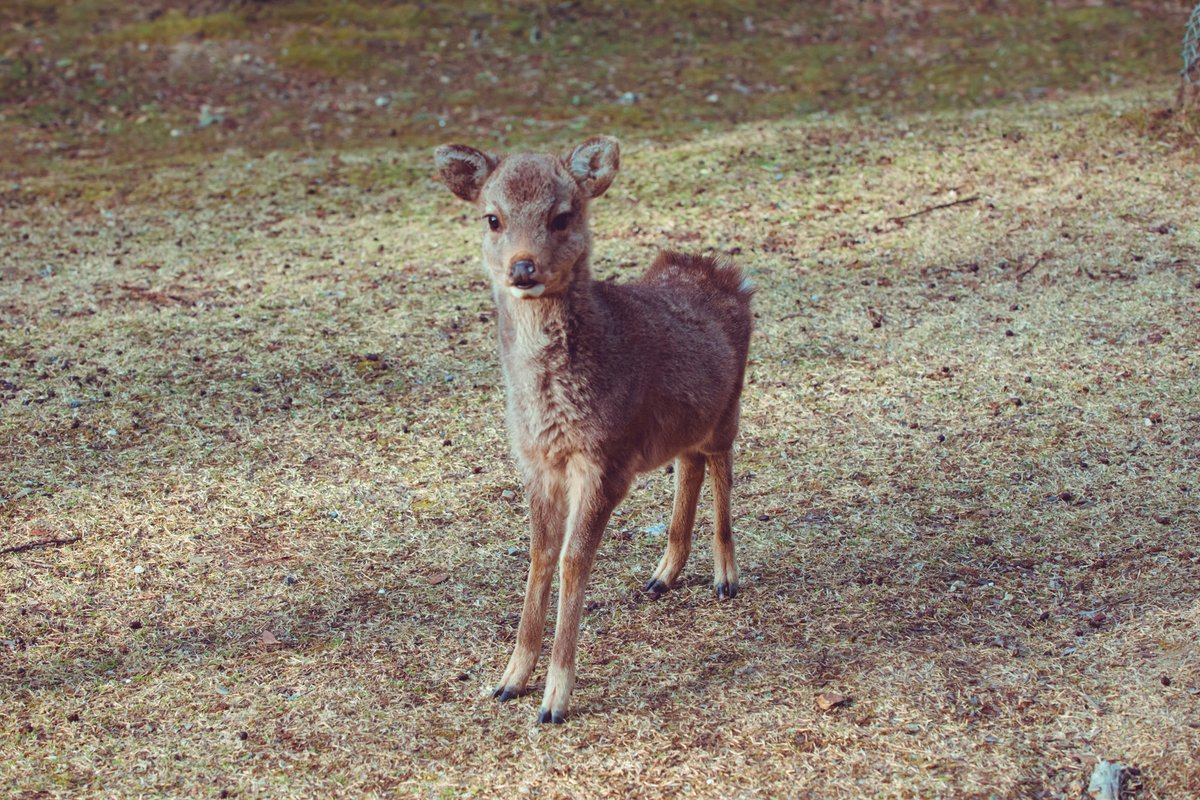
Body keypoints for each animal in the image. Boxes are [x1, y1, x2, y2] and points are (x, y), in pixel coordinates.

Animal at [434, 136, 753, 724]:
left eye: (563, 216)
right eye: (493, 217)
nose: (523, 267)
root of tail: (730, 275)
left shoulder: (607, 458)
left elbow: (572, 559)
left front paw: (554, 701)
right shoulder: (535, 461)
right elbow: (540, 555)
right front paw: (508, 681)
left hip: (729, 408)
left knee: (721, 465)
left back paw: (726, 578)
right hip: (684, 424)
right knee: (690, 464)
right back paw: (662, 575)